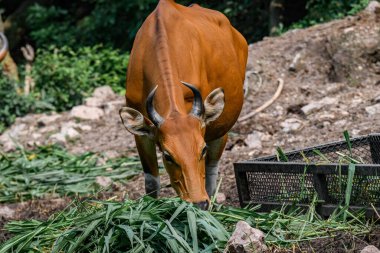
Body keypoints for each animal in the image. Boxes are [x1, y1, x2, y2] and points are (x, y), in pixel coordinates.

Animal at [120, 0, 248, 210]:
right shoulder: (141, 134)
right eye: (167, 155)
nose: (199, 204)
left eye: (202, 149)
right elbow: (151, 183)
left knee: (212, 171)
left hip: (220, 129)